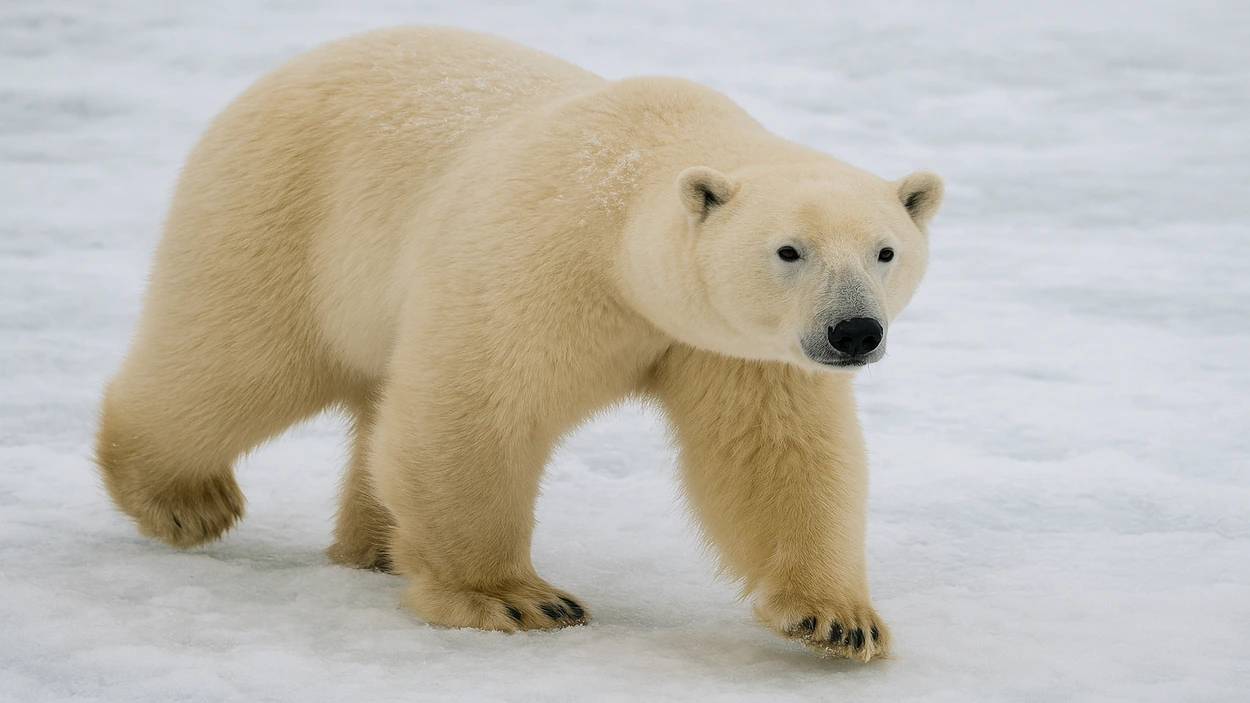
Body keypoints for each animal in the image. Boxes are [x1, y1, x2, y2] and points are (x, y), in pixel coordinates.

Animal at [95, 25, 942, 662]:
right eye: (789, 250)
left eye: (885, 251)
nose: (854, 331)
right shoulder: (537, 265)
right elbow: (477, 410)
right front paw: (515, 597)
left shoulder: (733, 344)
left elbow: (776, 454)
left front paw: (837, 618)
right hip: (279, 215)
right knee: (236, 360)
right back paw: (184, 500)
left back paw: (374, 544)